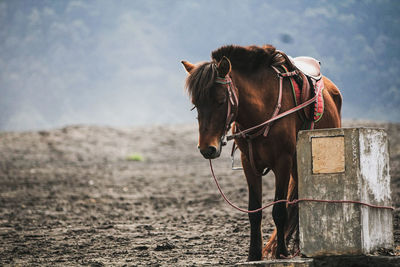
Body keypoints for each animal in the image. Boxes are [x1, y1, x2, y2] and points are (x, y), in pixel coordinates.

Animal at [181, 44, 340, 262]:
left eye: (221, 101)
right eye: (196, 104)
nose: (207, 148)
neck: (261, 110)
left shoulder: (282, 162)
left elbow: (279, 211)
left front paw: (281, 253)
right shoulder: (249, 163)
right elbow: (254, 211)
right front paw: (254, 254)